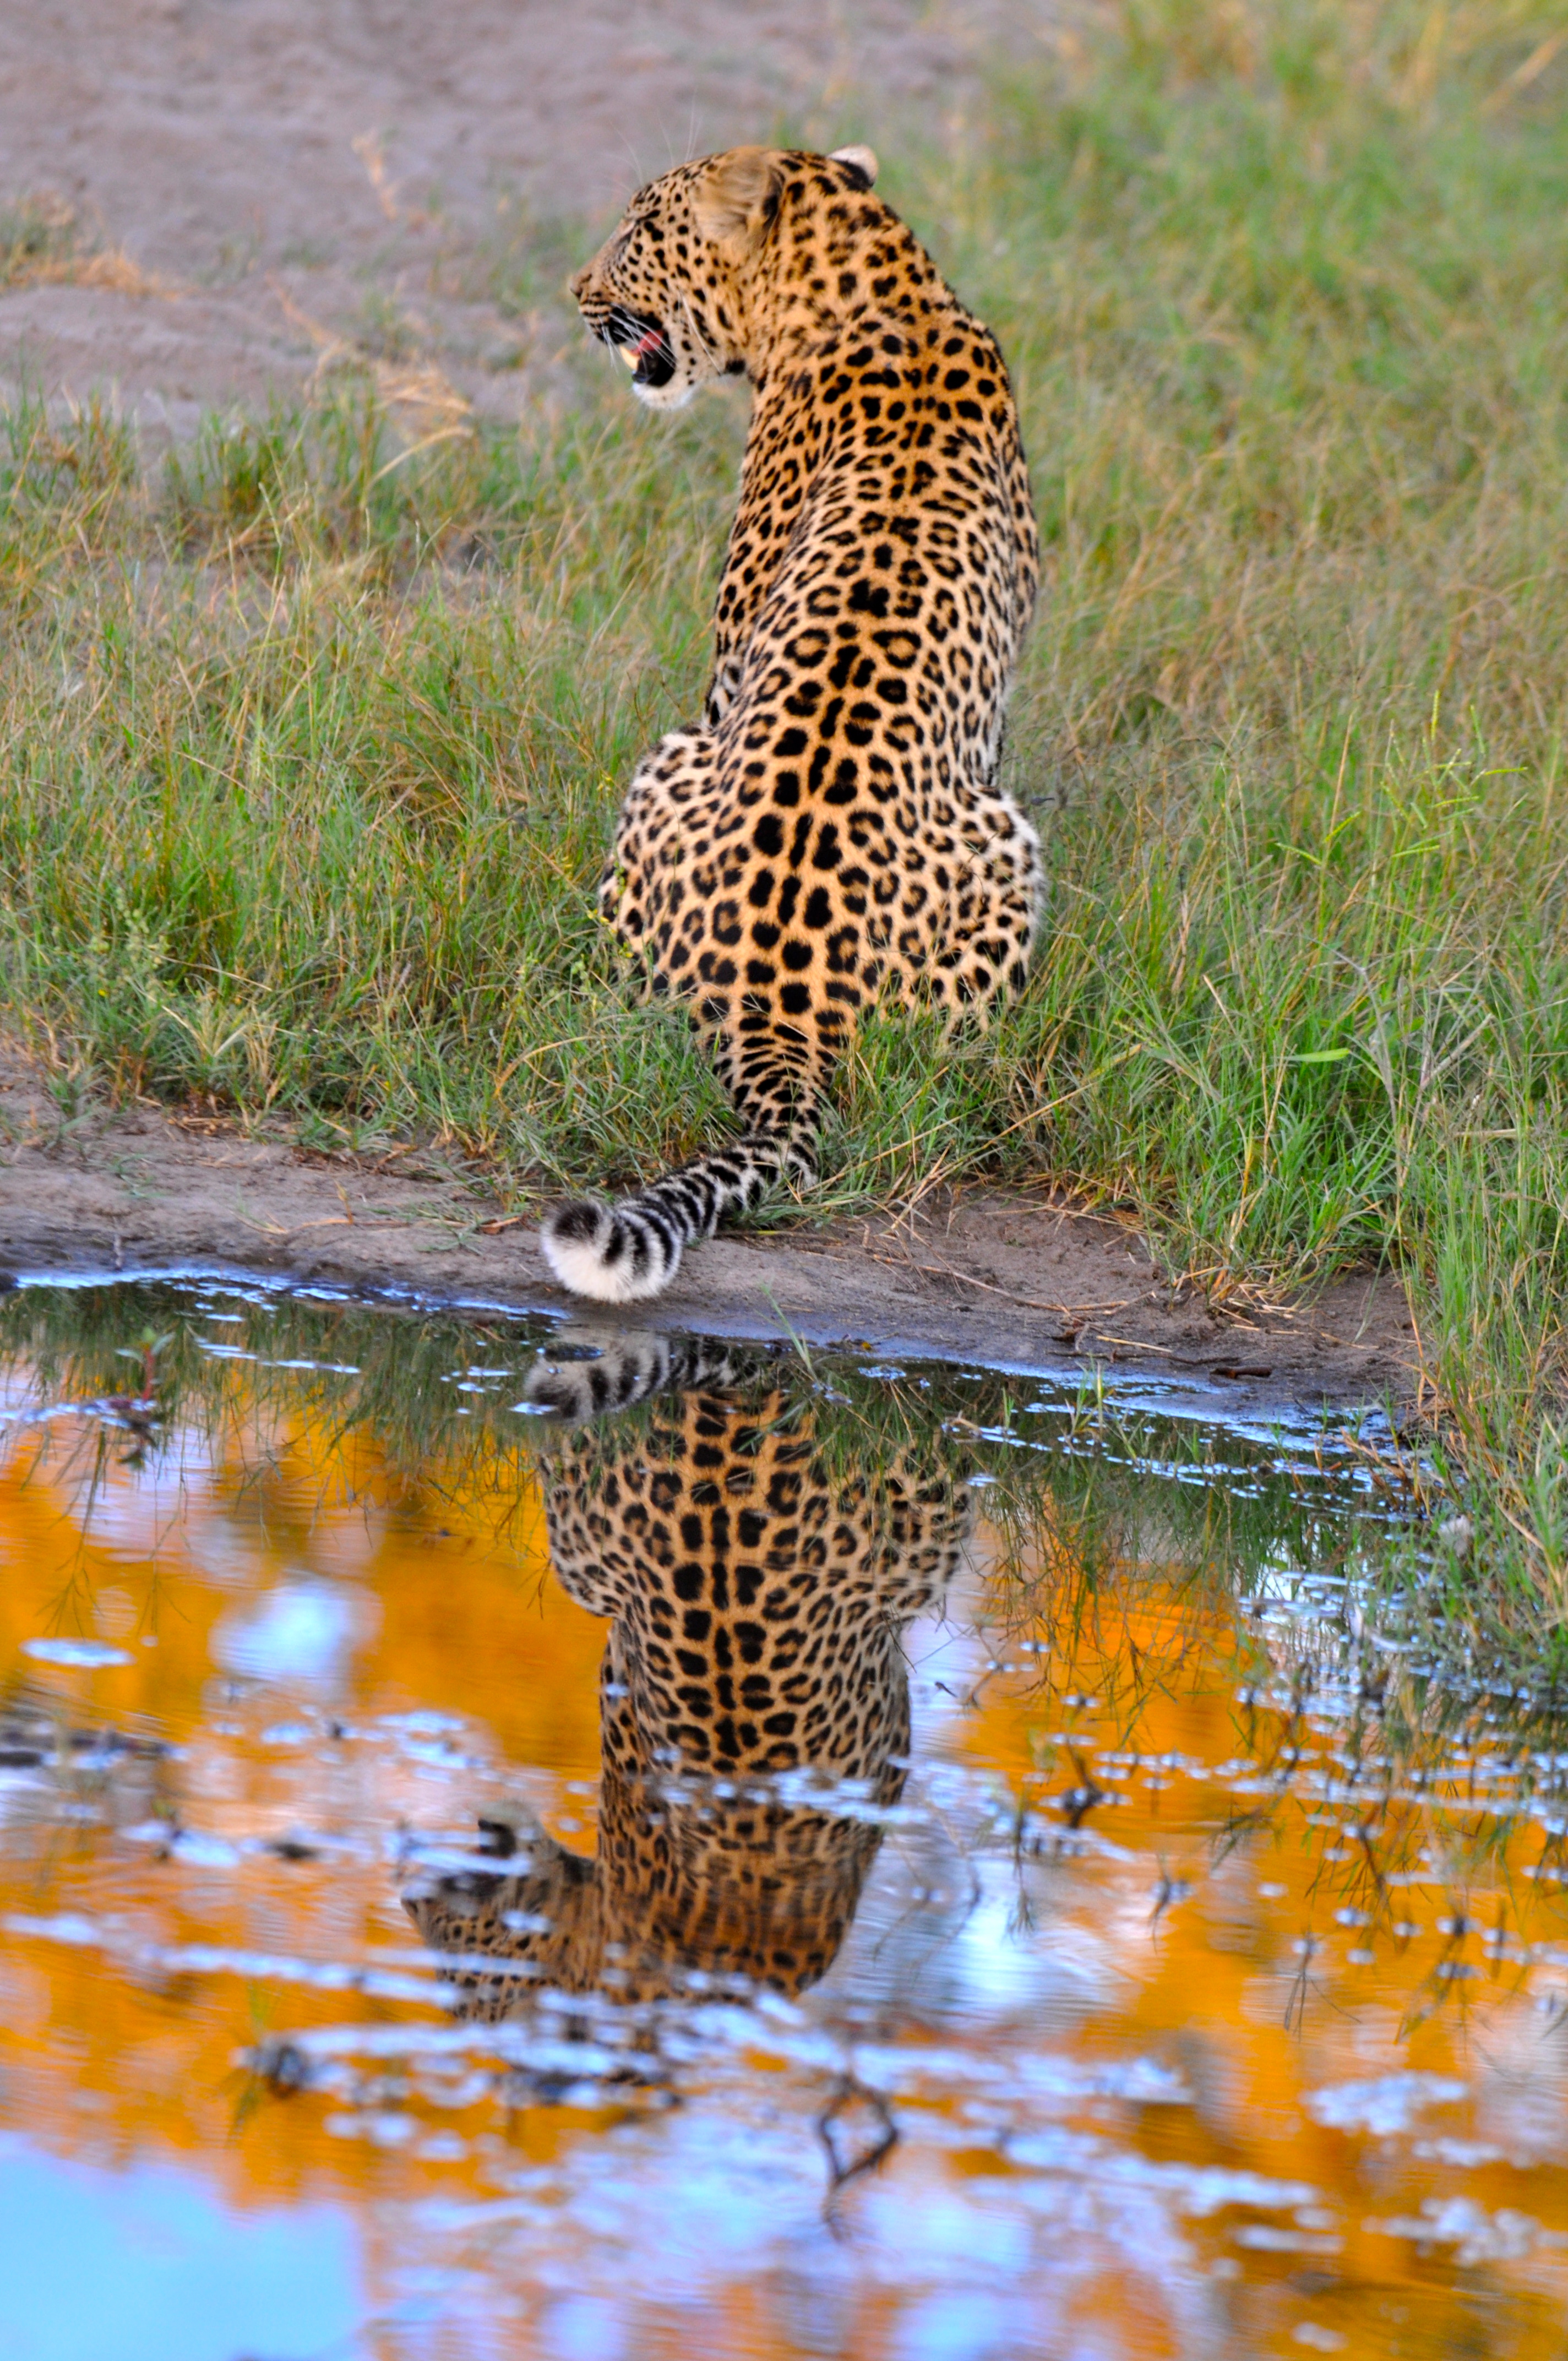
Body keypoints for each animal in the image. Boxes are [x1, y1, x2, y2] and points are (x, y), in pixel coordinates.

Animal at [540, 140, 1042, 1304]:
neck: (883, 287)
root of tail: (776, 1007)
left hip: (695, 760)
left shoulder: (726, 673)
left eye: (636, 232)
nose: (575, 291)